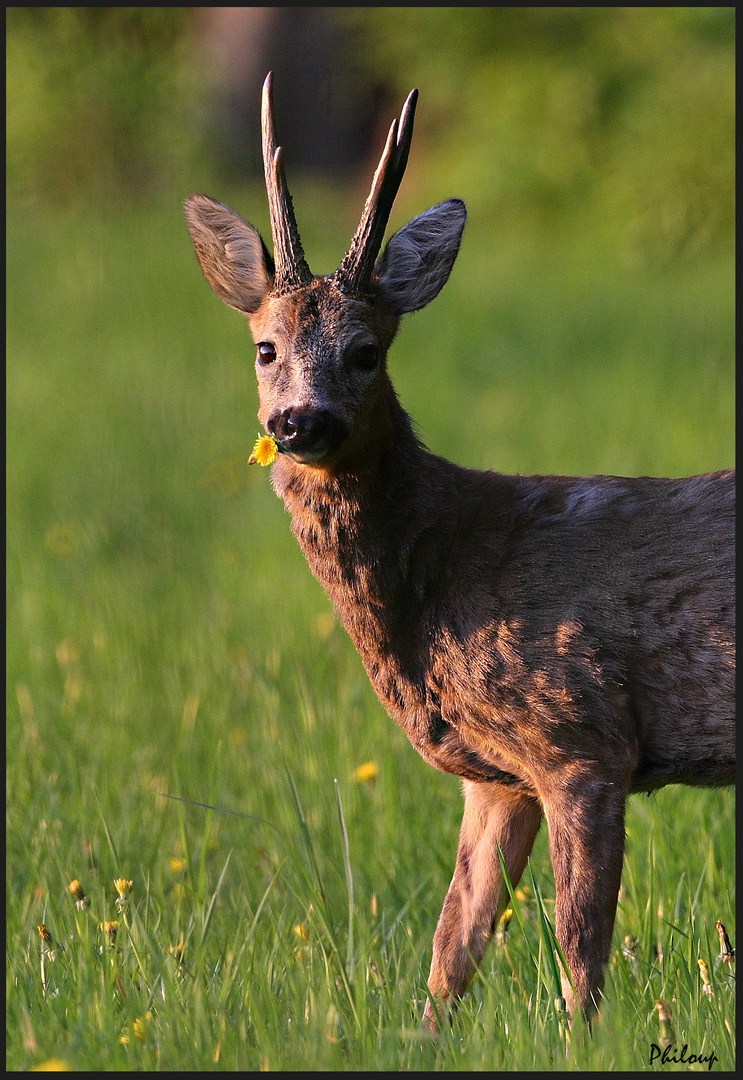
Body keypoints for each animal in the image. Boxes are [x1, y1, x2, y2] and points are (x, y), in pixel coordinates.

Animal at [184, 76, 730, 1028]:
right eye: (264, 347)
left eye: (367, 350)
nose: (297, 421)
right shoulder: (496, 776)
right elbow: (452, 945)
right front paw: (422, 1037)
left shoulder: (580, 737)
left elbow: (579, 948)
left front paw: (579, 1041)